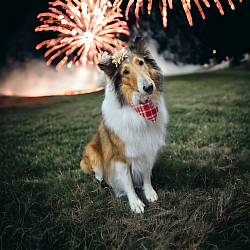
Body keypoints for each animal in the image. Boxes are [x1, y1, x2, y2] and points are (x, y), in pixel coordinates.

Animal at [81, 36, 169, 213]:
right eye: (125, 72)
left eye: (141, 62)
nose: (148, 87)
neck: (142, 110)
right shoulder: (120, 157)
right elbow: (128, 183)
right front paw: (135, 203)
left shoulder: (147, 147)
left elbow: (146, 175)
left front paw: (149, 193)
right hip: (91, 149)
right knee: (95, 167)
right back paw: (100, 176)